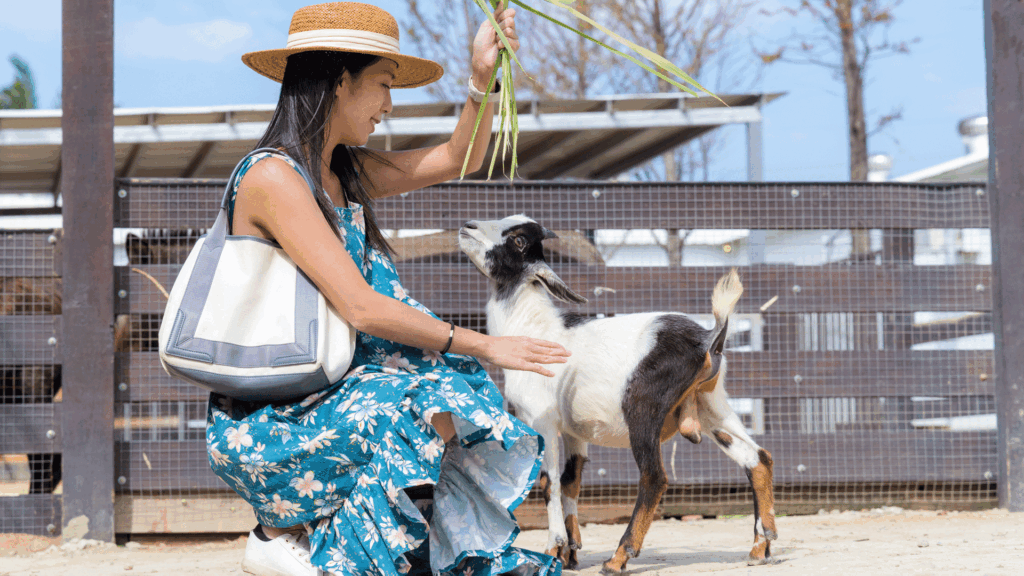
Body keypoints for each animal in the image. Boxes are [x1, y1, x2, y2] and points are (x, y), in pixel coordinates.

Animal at [456, 214, 774, 569]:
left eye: (519, 240)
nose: (467, 226)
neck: (533, 329)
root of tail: (709, 338)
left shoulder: (542, 419)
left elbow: (550, 482)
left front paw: (554, 549)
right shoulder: (573, 431)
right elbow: (571, 481)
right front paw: (570, 552)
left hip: (643, 409)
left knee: (654, 476)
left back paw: (618, 558)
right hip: (713, 408)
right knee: (757, 458)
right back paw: (760, 547)